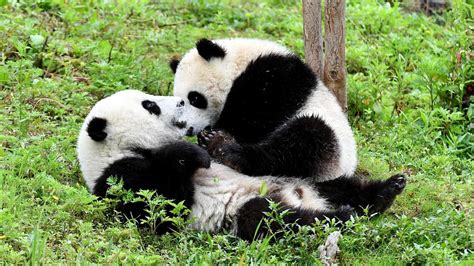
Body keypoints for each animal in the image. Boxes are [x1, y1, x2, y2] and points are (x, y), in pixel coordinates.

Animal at [76, 89, 406, 241]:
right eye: (151, 106)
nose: (180, 102)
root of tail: (301, 196)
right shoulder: (119, 178)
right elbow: (162, 205)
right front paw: (191, 154)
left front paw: (210, 143)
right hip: (244, 211)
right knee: (273, 219)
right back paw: (341, 217)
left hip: (300, 179)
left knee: (340, 187)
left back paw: (385, 192)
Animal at [169, 38, 356, 182]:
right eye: (180, 103)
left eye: (195, 98)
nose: (188, 128)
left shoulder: (276, 77)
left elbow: (255, 115)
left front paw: (216, 132)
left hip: (331, 142)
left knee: (302, 141)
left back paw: (226, 149)